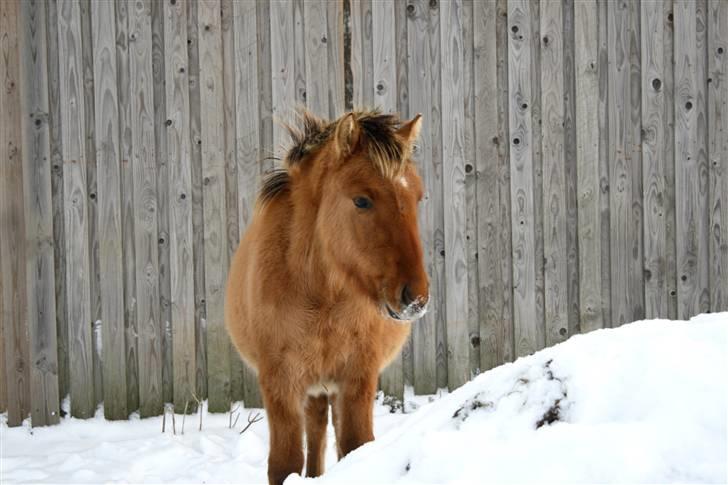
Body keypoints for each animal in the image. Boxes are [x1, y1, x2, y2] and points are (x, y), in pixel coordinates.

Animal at [225, 110, 430, 484]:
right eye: (361, 200)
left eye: (418, 197)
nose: (415, 298)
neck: (322, 297)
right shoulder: (281, 383)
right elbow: (285, 462)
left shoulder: (357, 378)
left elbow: (356, 445)